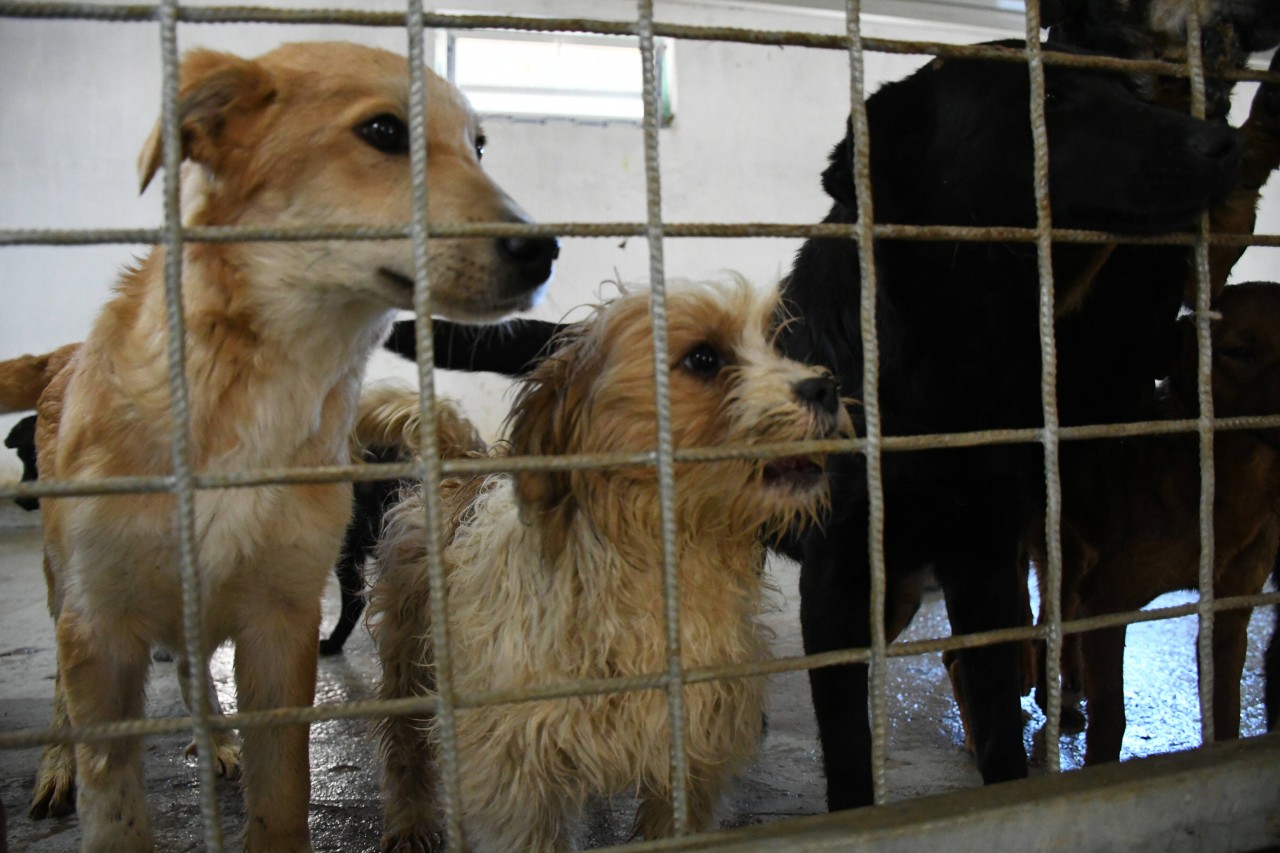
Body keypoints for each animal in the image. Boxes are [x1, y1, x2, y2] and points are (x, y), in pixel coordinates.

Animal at [5, 39, 555, 850]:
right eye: (383, 132)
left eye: (478, 146)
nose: (544, 249)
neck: (258, 397)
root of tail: (64, 355)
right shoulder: (98, 629)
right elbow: (115, 807)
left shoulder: (279, 626)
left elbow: (281, 799)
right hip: (61, 591)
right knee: (62, 699)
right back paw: (53, 766)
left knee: (194, 668)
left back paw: (217, 741)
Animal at [368, 277, 849, 845]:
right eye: (704, 358)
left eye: (776, 345)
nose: (826, 388)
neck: (655, 565)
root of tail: (466, 463)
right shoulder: (520, 785)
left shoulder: (690, 764)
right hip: (409, 659)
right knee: (405, 747)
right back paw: (411, 821)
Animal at [773, 43, 1244, 809]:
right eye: (1046, 102)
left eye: (1128, 92)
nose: (1226, 143)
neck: (954, 354)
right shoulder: (836, 578)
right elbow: (846, 747)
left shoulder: (986, 560)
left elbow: (999, 724)